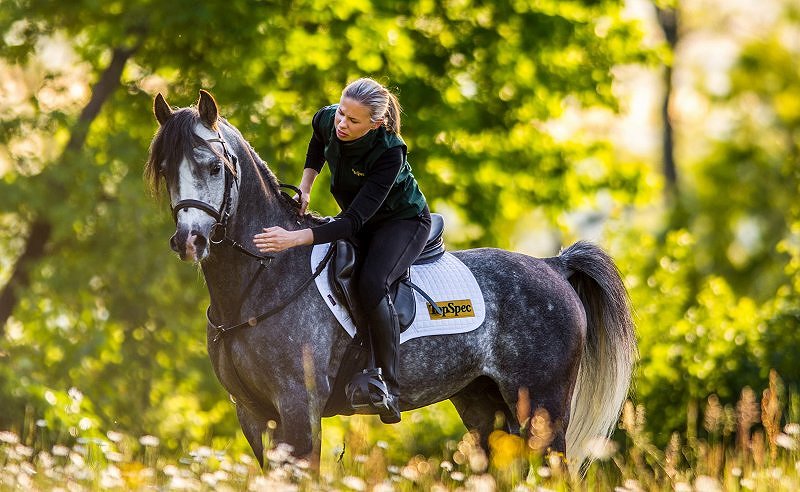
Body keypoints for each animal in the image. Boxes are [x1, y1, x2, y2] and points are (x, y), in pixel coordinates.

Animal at [147, 91, 636, 472]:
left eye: (213, 167)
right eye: (166, 169)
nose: (190, 241)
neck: (258, 283)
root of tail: (553, 266)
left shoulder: (298, 409)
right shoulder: (252, 414)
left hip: (544, 411)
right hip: (485, 408)